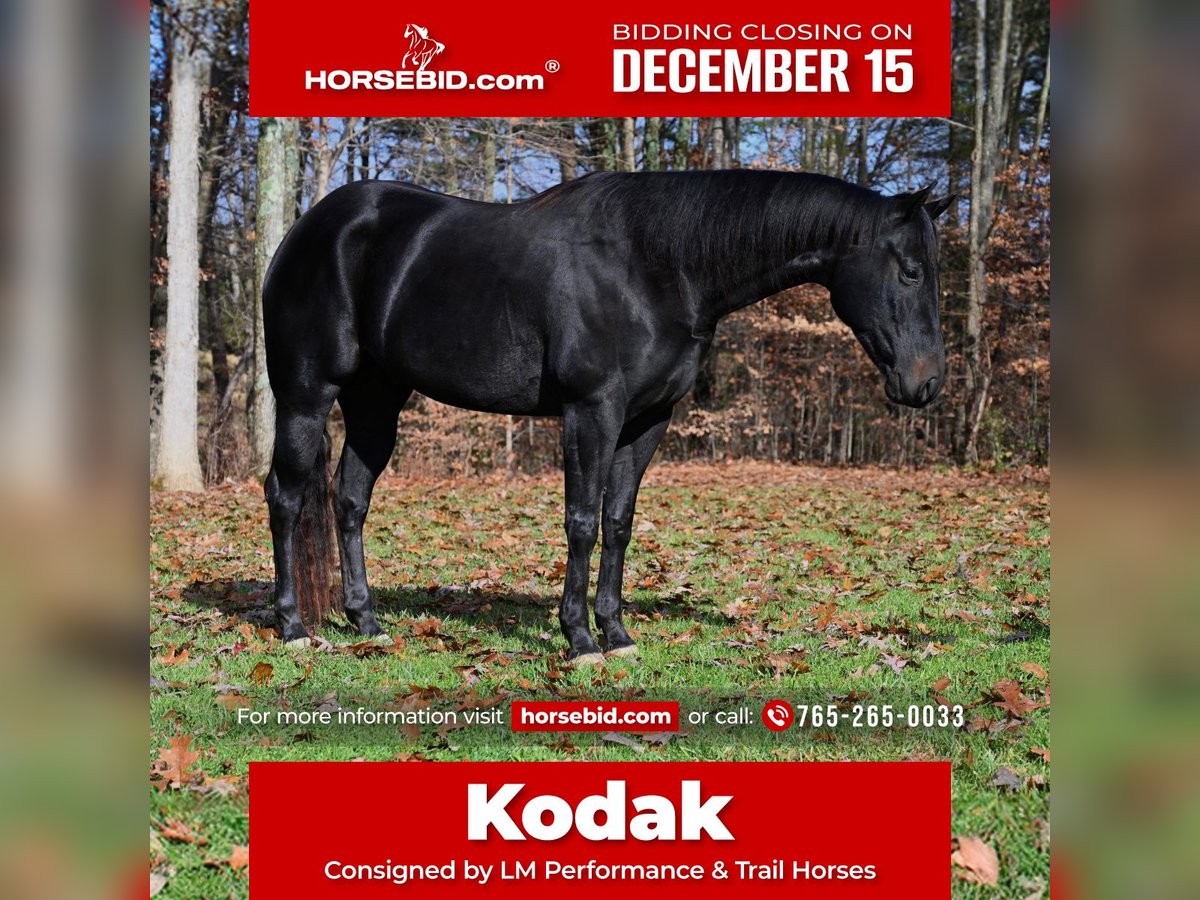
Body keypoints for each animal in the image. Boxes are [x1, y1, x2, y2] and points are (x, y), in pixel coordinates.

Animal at [262, 170, 953, 665]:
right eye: (911, 271)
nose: (927, 382)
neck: (657, 266)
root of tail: (304, 232)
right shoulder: (591, 411)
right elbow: (582, 523)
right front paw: (579, 639)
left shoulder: (647, 421)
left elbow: (618, 524)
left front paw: (616, 632)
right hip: (306, 395)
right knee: (286, 497)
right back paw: (293, 627)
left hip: (376, 402)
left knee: (349, 500)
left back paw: (367, 622)